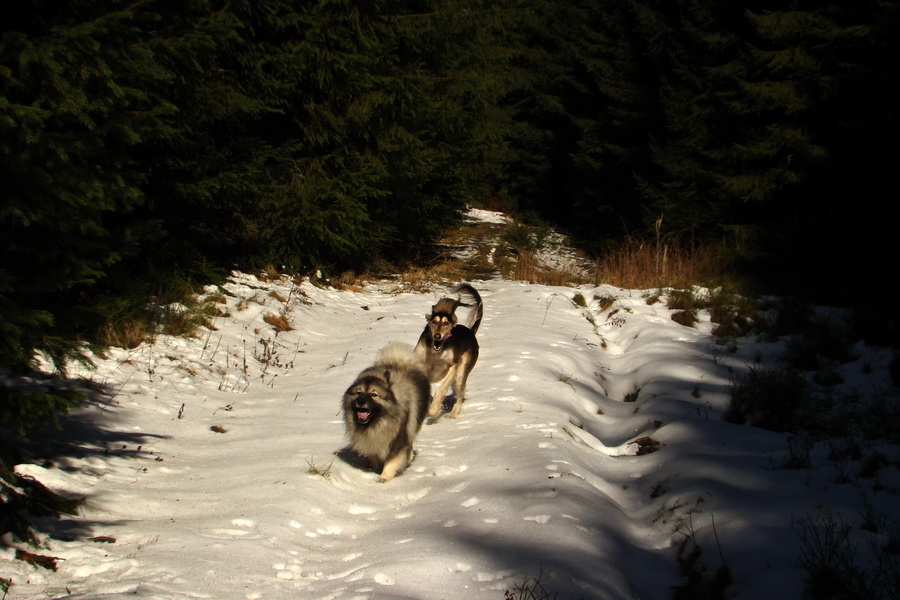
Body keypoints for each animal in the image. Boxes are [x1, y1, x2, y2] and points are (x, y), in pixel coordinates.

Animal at [342, 344, 430, 480]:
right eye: (358, 393)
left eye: (374, 394)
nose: (361, 401)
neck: (376, 423)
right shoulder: (371, 441)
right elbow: (373, 455)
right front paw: (373, 468)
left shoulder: (398, 439)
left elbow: (392, 461)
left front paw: (384, 477)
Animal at [416, 284, 486, 420]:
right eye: (434, 322)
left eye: (446, 323)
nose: (437, 336)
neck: (435, 353)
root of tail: (470, 332)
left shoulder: (453, 366)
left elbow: (441, 390)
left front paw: (434, 410)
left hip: (460, 374)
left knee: (460, 397)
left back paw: (452, 415)